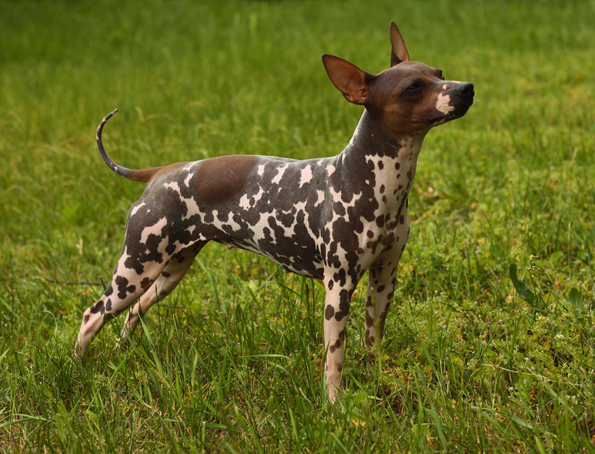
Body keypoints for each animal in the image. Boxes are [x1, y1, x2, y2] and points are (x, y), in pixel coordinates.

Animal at [75, 23, 474, 402]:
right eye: (412, 87)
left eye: (439, 72)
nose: (466, 88)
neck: (370, 178)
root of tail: (160, 173)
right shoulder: (338, 287)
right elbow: (335, 356)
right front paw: (334, 404)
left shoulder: (384, 280)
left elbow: (372, 341)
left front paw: (376, 381)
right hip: (135, 267)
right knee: (93, 313)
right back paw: (78, 366)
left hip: (169, 271)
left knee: (135, 310)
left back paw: (121, 353)